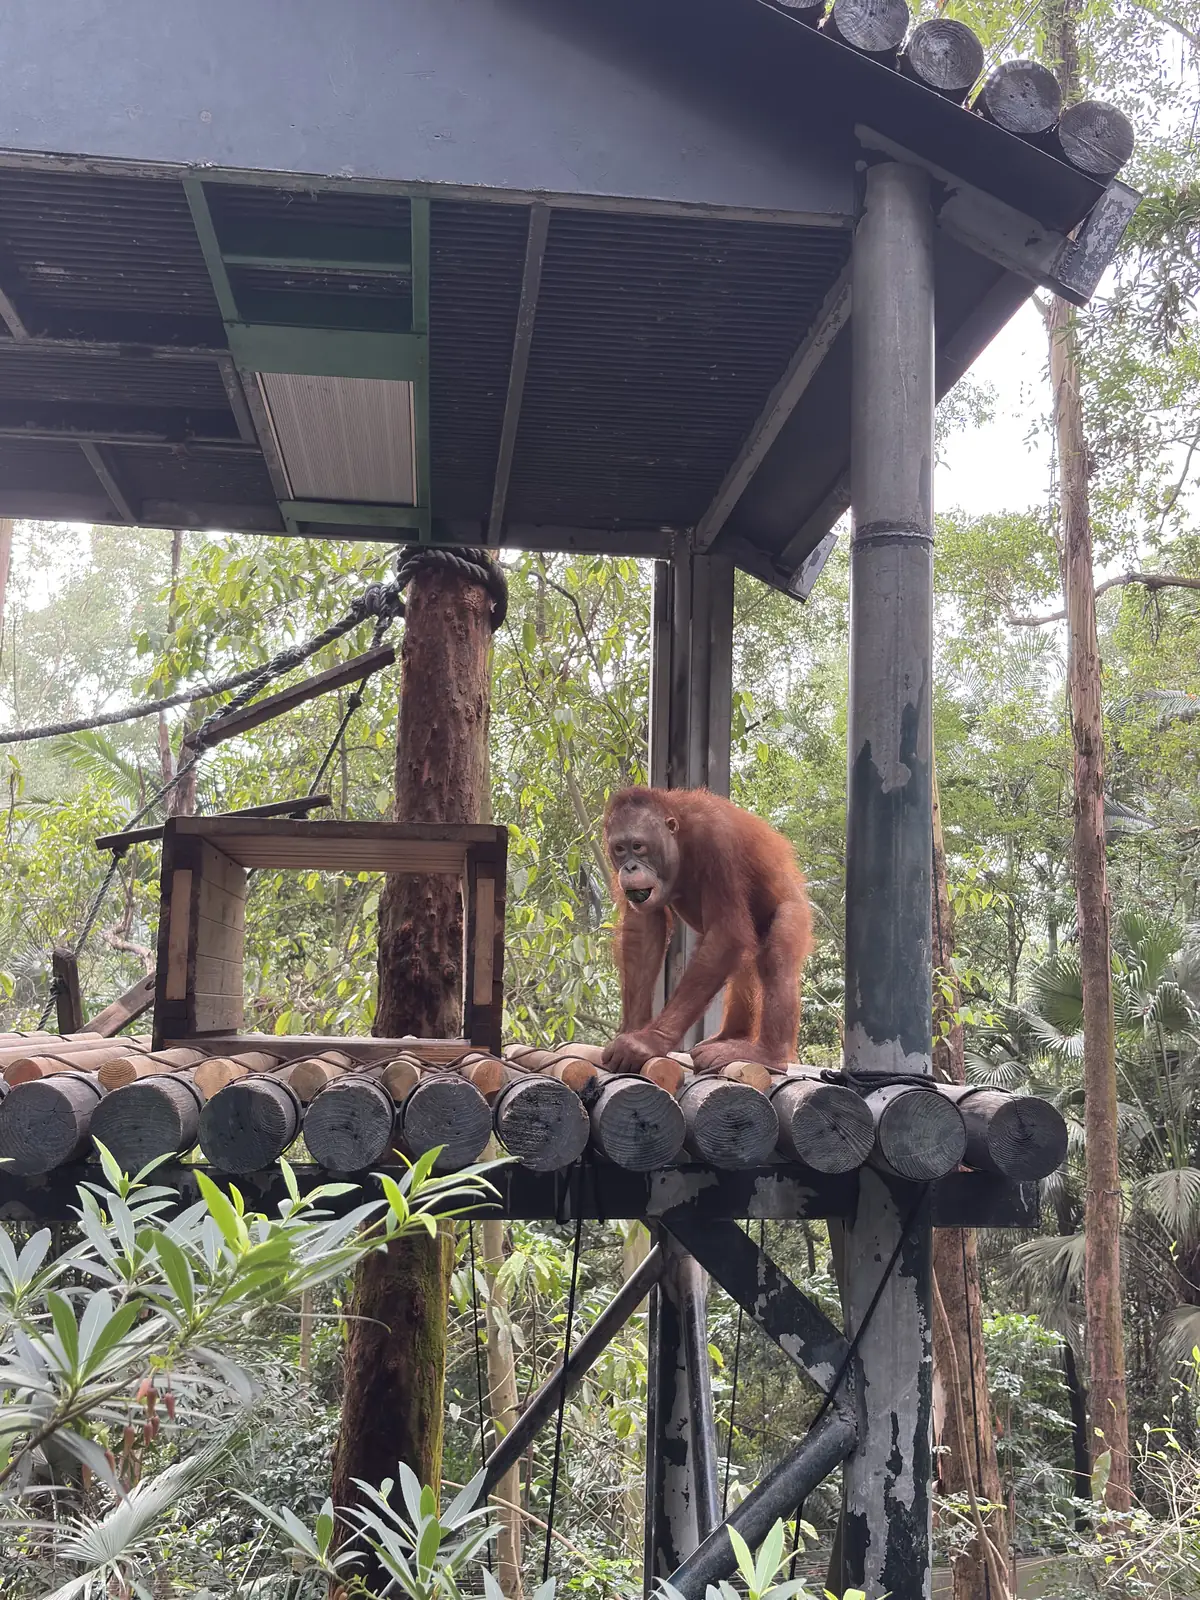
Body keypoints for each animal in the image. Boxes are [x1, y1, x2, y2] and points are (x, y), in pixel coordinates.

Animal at [601, 786, 813, 1073]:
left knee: (776, 954)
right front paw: (633, 1029)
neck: (680, 839)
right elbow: (644, 926)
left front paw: (647, 1042)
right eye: (620, 849)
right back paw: (732, 1036)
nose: (630, 867)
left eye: (638, 847)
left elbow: (726, 933)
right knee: (746, 962)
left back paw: (768, 1055)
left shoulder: (718, 842)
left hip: (795, 912)